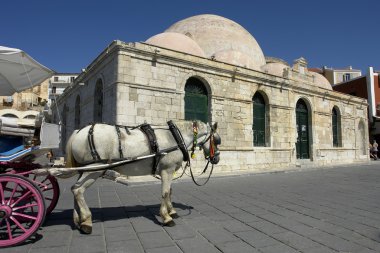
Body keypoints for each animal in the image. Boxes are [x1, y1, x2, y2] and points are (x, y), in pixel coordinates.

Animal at [62, 120, 220, 233]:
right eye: (217, 140)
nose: (216, 159)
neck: (175, 138)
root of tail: (78, 132)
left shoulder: (169, 172)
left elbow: (170, 192)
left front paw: (172, 211)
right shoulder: (167, 171)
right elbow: (165, 192)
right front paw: (166, 217)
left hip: (84, 170)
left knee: (74, 189)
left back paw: (78, 220)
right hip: (93, 170)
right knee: (78, 190)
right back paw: (86, 221)